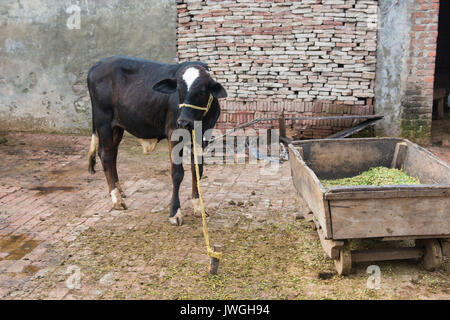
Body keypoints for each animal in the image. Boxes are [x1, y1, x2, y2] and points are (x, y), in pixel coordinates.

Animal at [87, 55, 227, 225]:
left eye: (202, 91)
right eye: (178, 90)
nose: (184, 122)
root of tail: (97, 64)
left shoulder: (202, 137)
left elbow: (197, 171)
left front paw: (198, 208)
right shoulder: (174, 134)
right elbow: (177, 173)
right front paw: (175, 212)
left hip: (117, 126)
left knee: (111, 155)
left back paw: (119, 190)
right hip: (104, 122)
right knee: (106, 155)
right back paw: (117, 199)